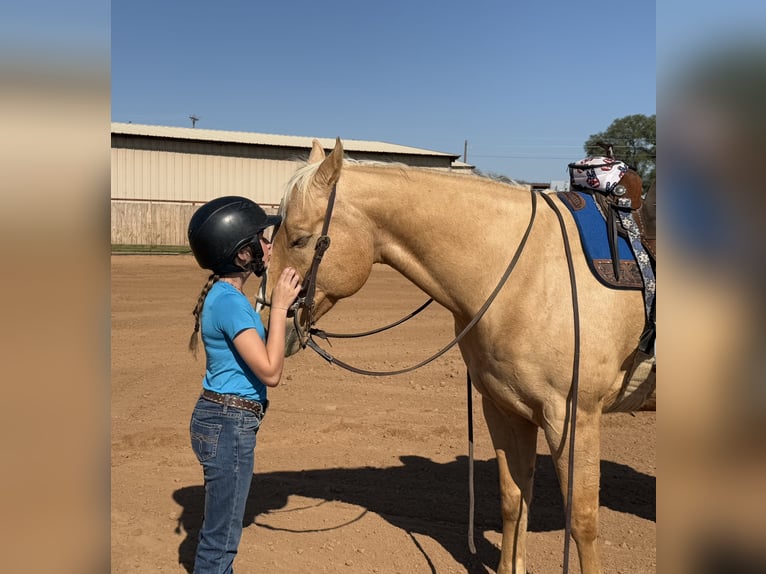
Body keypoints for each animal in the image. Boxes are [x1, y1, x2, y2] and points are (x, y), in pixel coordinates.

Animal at [261, 138, 654, 574]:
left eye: (300, 239)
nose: (269, 319)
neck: (526, 272)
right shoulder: (505, 410)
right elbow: (514, 501)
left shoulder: (573, 416)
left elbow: (582, 521)